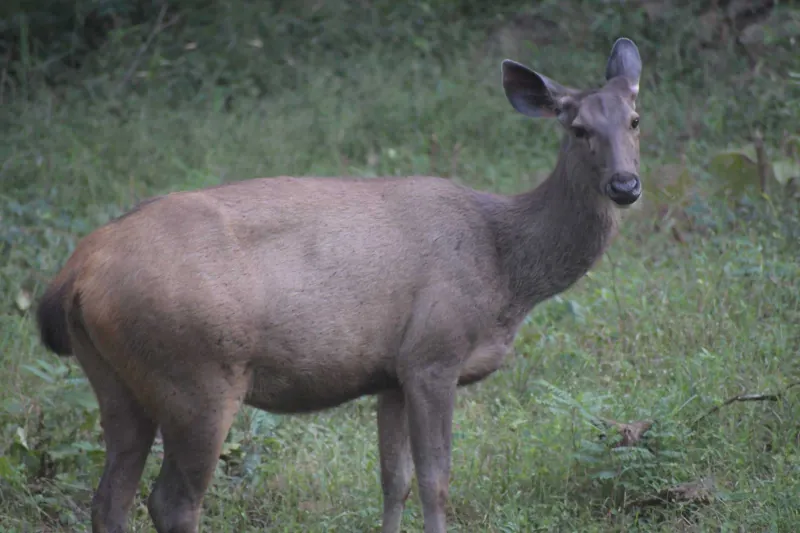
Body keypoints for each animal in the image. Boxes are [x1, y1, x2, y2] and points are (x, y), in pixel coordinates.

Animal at [35, 37, 643, 533]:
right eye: (578, 128)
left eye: (636, 119)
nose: (625, 184)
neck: (504, 268)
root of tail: (75, 273)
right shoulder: (433, 353)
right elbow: (436, 482)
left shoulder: (391, 374)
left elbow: (394, 481)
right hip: (196, 373)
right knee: (172, 503)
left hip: (116, 380)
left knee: (109, 500)